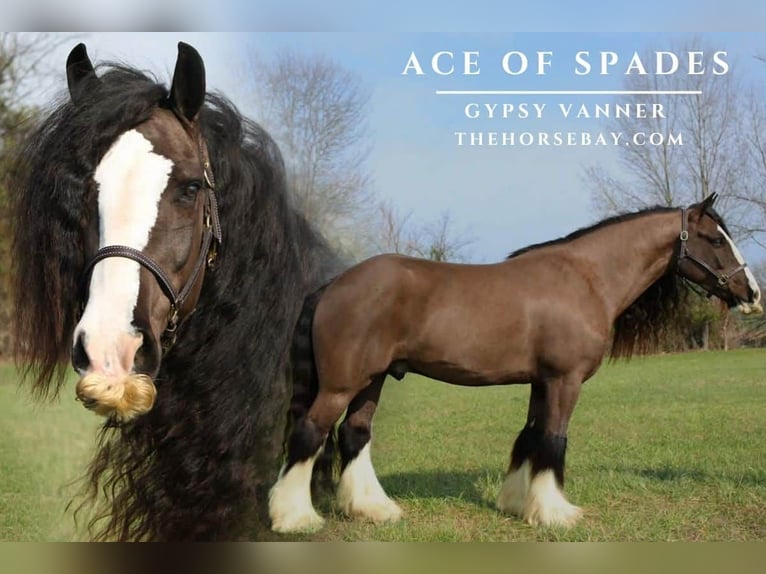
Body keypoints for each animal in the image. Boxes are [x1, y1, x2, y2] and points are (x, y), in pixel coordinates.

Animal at [271, 194, 762, 532]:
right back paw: (294, 517)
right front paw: (556, 513)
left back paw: (374, 509)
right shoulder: (565, 381)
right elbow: (554, 440)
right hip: (341, 384)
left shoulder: (541, 382)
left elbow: (530, 437)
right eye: (715, 239)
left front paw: (517, 503)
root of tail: (333, 285)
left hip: (371, 381)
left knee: (354, 435)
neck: (586, 278)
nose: (752, 293)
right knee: (310, 432)